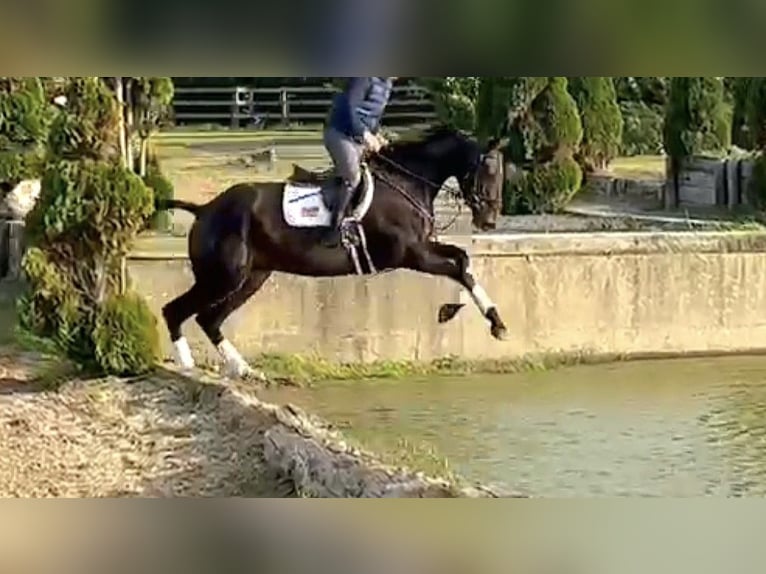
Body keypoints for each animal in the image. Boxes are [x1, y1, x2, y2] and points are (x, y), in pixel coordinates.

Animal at [154, 125, 508, 380]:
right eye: (489, 171)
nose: (489, 221)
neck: (407, 182)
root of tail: (204, 209)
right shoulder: (411, 254)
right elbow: (458, 268)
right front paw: (474, 318)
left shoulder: (422, 247)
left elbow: (463, 260)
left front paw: (487, 320)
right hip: (223, 277)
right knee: (176, 311)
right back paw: (187, 363)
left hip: (250, 278)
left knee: (208, 319)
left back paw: (242, 368)